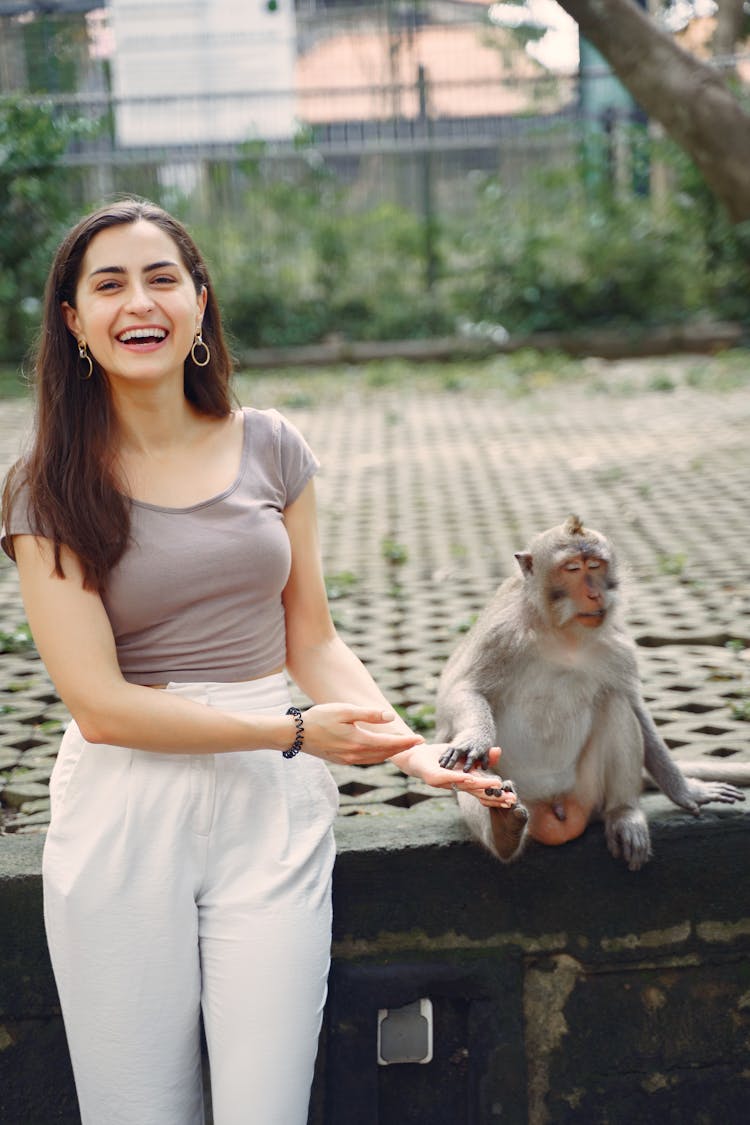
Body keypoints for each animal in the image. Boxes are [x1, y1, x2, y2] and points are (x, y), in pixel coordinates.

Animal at [436, 515, 746, 873]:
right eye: (572, 568)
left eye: (595, 566)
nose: (595, 593)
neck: (562, 633)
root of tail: (552, 806)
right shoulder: (502, 633)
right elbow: (464, 691)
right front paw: (475, 739)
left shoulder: (617, 640)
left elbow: (634, 706)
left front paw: (686, 790)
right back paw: (502, 830)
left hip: (586, 794)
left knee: (616, 704)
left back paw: (624, 814)